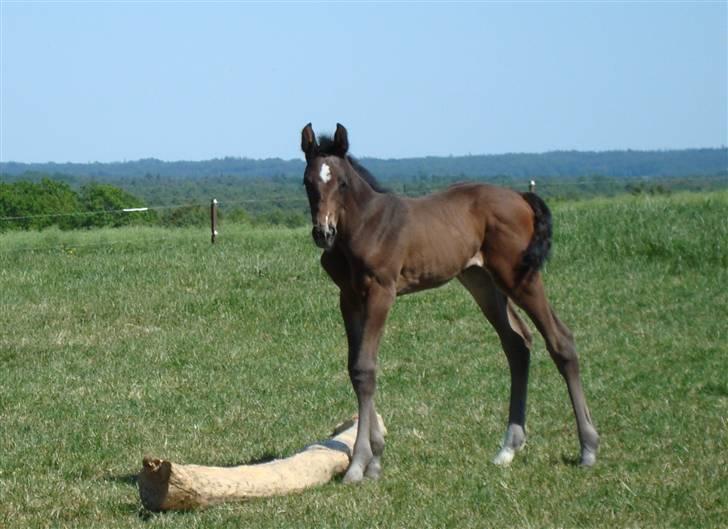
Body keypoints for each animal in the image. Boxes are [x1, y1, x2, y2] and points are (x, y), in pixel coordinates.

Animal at [300, 124, 596, 482]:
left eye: (342, 183)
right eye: (308, 182)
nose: (323, 233)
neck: (364, 225)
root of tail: (521, 197)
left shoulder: (381, 293)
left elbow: (366, 368)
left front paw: (361, 464)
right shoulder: (349, 297)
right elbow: (356, 369)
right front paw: (373, 456)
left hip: (518, 277)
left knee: (560, 340)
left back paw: (588, 447)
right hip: (482, 281)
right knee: (517, 343)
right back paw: (508, 448)